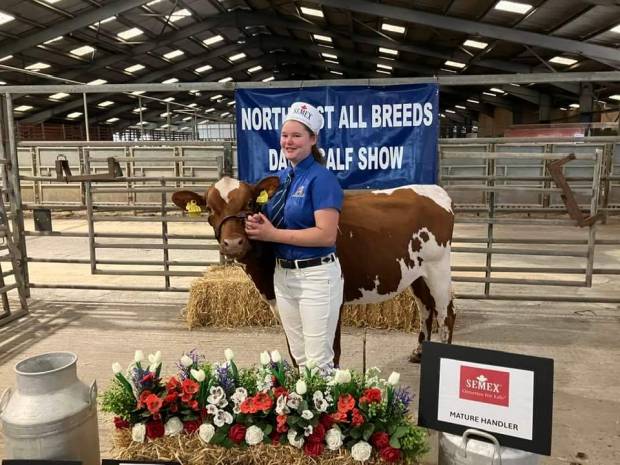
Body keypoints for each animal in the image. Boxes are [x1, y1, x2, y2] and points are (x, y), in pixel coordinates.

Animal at [174, 176, 456, 360]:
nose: (233, 243)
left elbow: (330, 351)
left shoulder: (333, 302)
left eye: (251, 204)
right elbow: (295, 350)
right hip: (417, 274)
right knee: (425, 308)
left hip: (438, 268)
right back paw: (419, 352)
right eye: (210, 209)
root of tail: (433, 190)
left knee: (446, 314)